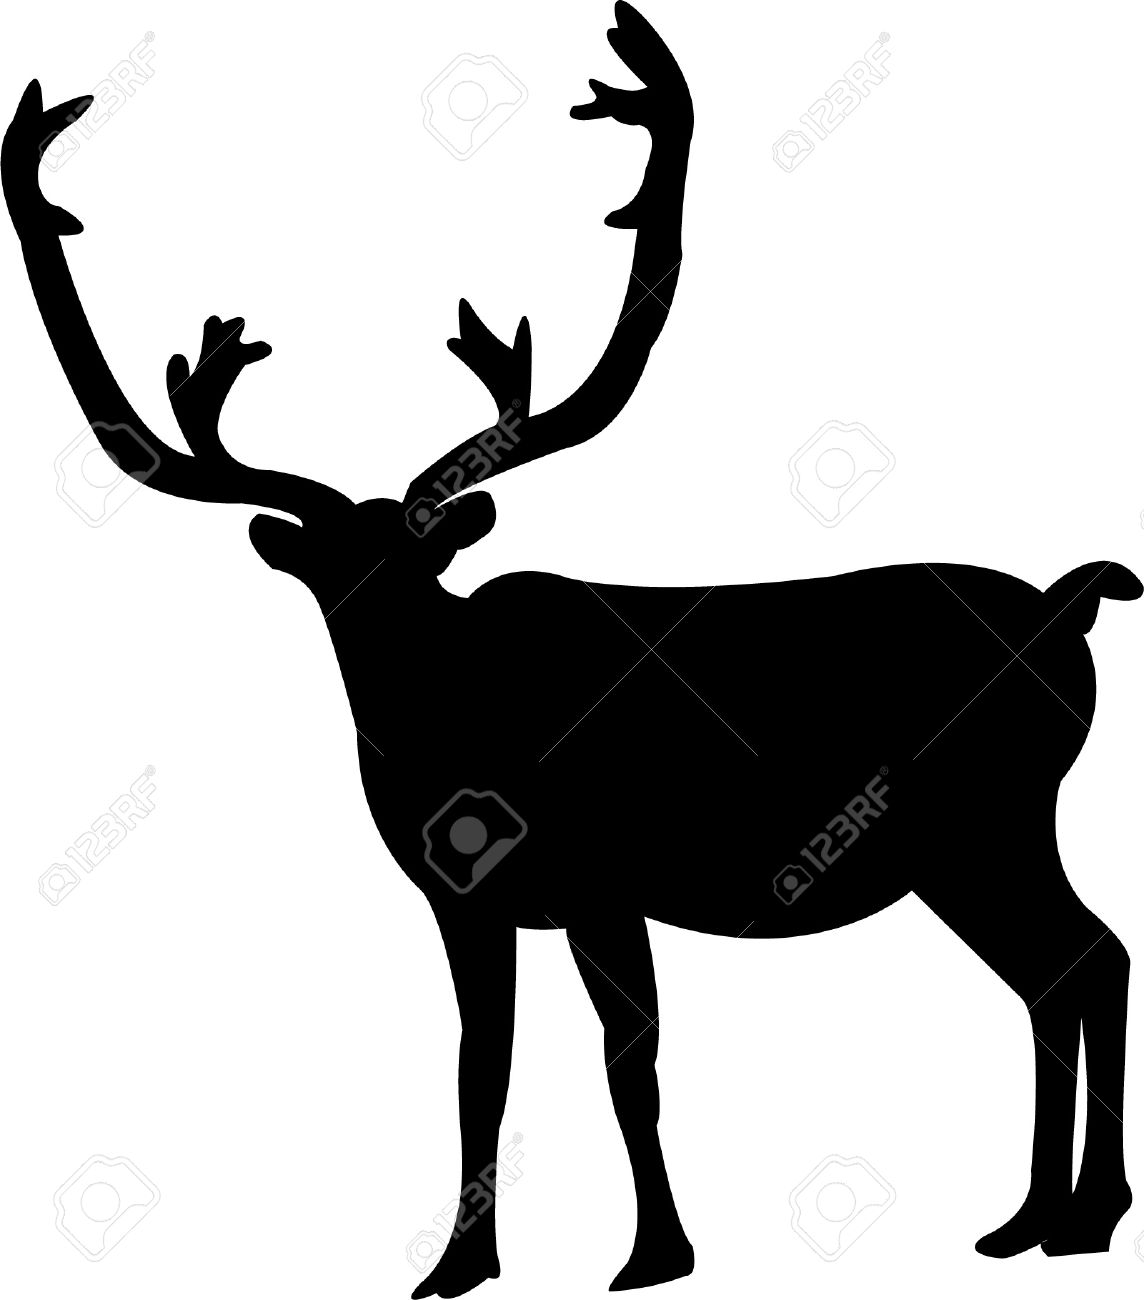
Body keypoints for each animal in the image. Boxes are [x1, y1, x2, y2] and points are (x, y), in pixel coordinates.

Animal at [5, 5, 1138, 1295]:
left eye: (421, 563)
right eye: (332, 582)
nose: (393, 673)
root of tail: (1072, 604)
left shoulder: (603, 875)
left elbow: (627, 1061)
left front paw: (655, 1252)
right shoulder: (467, 902)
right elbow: (475, 1070)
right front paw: (457, 1263)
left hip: (987, 818)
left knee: (1090, 958)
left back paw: (1083, 1214)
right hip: (972, 842)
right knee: (1061, 970)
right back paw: (1031, 1217)